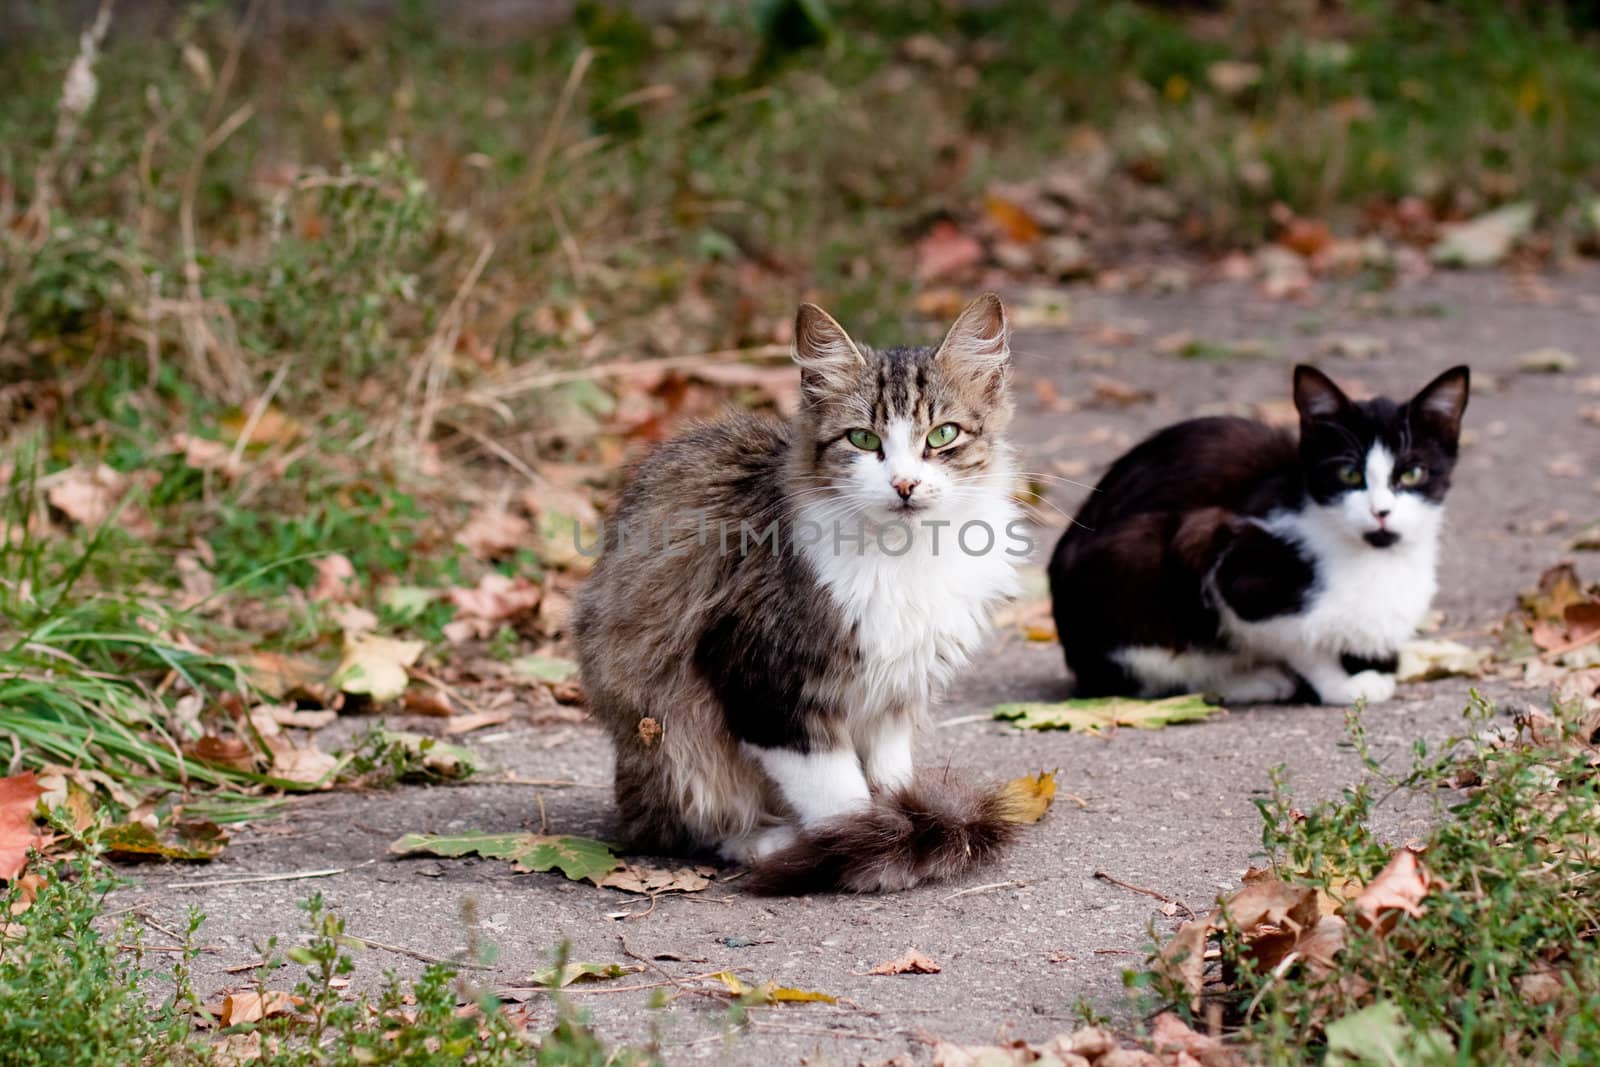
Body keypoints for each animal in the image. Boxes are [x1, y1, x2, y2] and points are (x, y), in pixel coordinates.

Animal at [576, 292, 1024, 895]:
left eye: (942, 436)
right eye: (863, 439)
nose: (904, 485)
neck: (904, 556)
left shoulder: (895, 690)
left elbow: (888, 775)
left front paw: (900, 825)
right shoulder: (768, 683)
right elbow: (839, 796)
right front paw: (866, 846)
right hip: (665, 732)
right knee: (691, 823)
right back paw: (770, 843)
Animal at [1049, 367, 1472, 710]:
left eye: (1413, 473)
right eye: (1348, 474)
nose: (1380, 511)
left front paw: (1378, 667)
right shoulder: (1221, 556)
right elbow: (1299, 641)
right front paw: (1342, 685)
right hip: (1132, 565)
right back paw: (1251, 681)